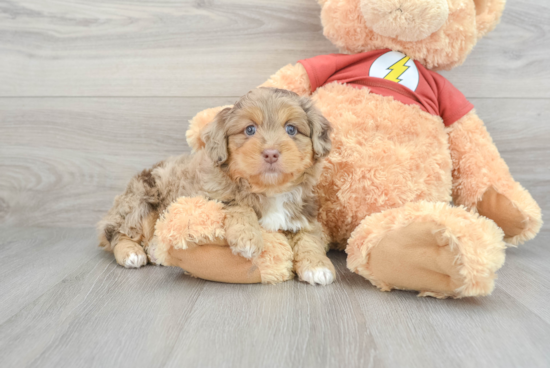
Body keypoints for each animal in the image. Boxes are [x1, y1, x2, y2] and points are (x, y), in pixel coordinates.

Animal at [98, 87, 336, 286]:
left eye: (291, 129)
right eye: (250, 130)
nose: (271, 153)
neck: (268, 190)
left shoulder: (303, 215)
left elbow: (309, 239)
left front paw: (318, 267)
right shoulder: (210, 196)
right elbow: (239, 205)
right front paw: (247, 238)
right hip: (140, 202)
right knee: (116, 233)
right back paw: (132, 253)